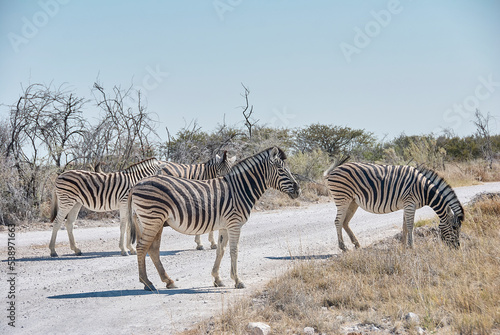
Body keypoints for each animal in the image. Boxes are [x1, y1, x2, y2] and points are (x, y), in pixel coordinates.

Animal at [129, 147, 300, 292]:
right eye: (281, 170)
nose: (298, 190)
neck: (240, 189)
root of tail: (136, 184)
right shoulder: (234, 224)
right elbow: (234, 250)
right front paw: (238, 281)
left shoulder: (225, 225)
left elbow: (220, 250)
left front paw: (217, 279)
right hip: (153, 219)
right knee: (142, 247)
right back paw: (147, 283)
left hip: (152, 221)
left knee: (153, 249)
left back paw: (168, 281)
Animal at [324, 159, 464, 251]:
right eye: (454, 227)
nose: (457, 247)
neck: (424, 189)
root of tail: (334, 170)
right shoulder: (410, 204)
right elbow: (410, 225)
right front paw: (412, 246)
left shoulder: (407, 205)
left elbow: (405, 226)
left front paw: (403, 245)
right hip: (342, 199)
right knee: (338, 221)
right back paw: (343, 247)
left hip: (352, 201)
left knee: (345, 222)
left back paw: (357, 244)